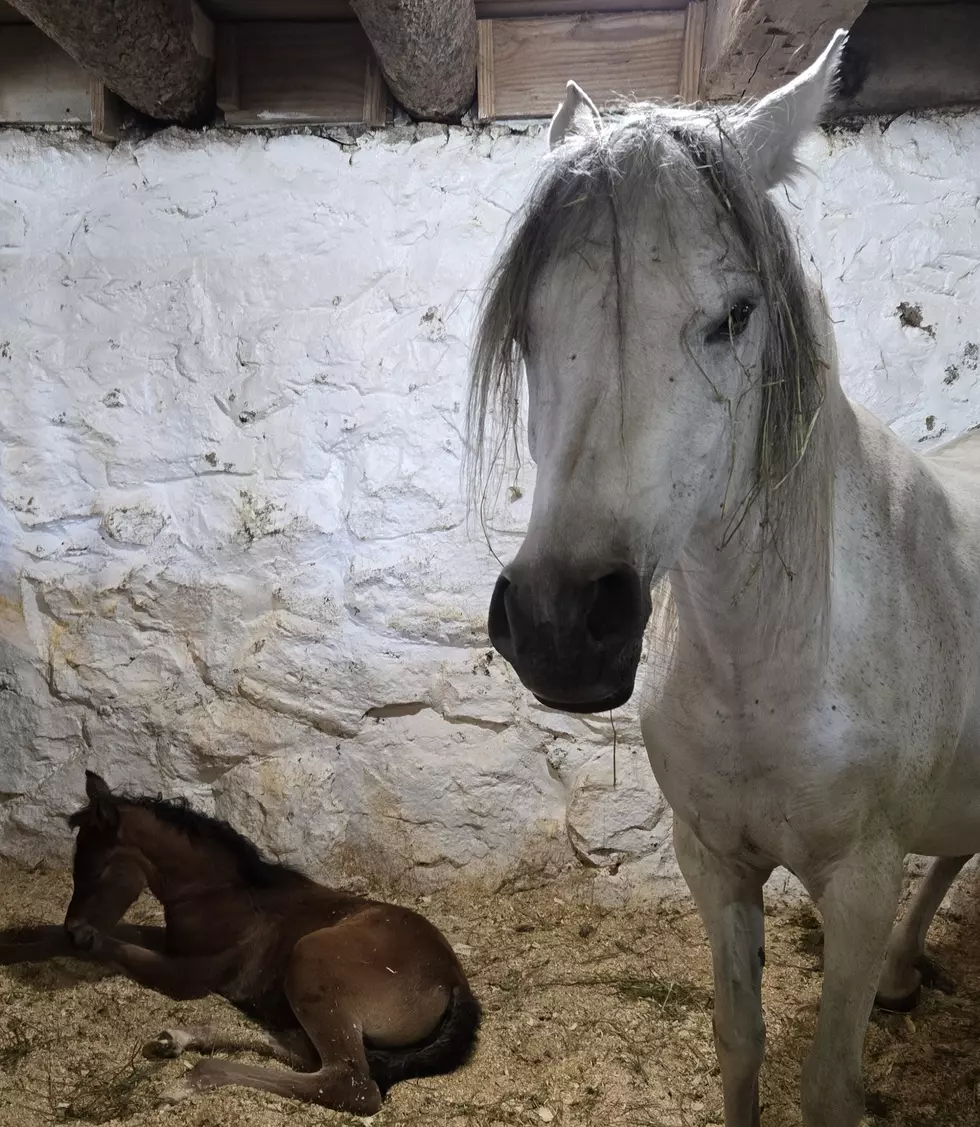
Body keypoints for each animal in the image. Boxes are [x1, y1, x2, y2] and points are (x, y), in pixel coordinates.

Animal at [0, 771, 481, 1113]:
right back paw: (179, 1039)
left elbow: (101, 946)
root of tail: (453, 981)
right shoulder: (175, 944)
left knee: (350, 1085)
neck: (221, 893)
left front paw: (26, 950)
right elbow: (110, 935)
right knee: (305, 1053)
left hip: (311, 958)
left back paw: (192, 1076)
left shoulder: (186, 975)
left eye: (96, 872)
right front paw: (21, 936)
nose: (75, 924)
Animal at [467, 30, 980, 1127]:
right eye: (526, 328)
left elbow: (828, 1084)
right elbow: (737, 1041)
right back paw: (908, 973)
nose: (561, 625)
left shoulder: (858, 883)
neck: (768, 654)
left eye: (737, 315)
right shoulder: (712, 859)